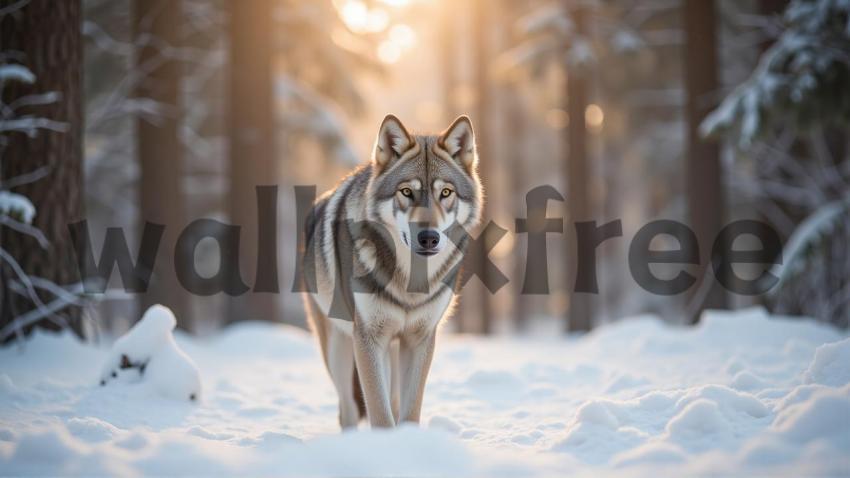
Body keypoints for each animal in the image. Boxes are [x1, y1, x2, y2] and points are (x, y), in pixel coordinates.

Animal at [302, 114, 480, 428]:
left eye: (445, 193)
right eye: (406, 192)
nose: (429, 238)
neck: (409, 283)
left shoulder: (420, 339)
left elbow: (409, 412)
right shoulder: (368, 339)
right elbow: (380, 414)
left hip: (392, 350)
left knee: (394, 402)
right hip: (339, 348)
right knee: (348, 410)